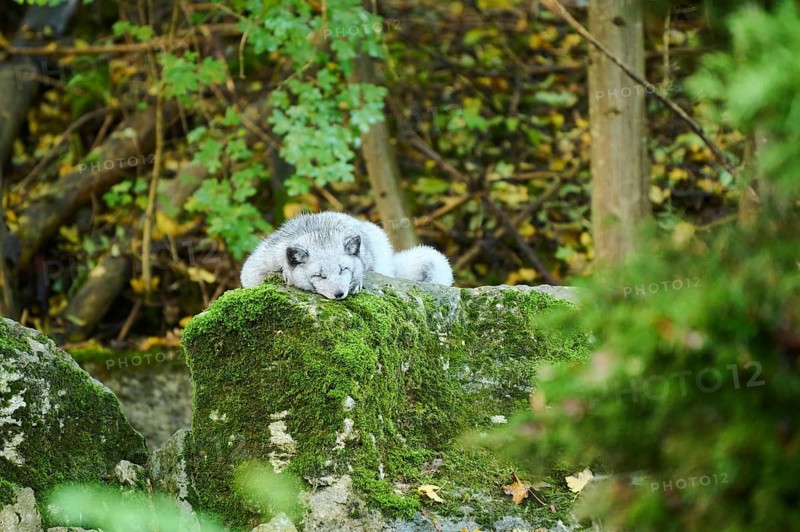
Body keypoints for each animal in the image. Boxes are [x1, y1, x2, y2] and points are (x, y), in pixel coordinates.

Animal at [240, 212, 453, 299]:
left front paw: (356, 282)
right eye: (319, 275)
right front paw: (285, 273)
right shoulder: (254, 267)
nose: (339, 294)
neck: (318, 232)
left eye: (343, 269)